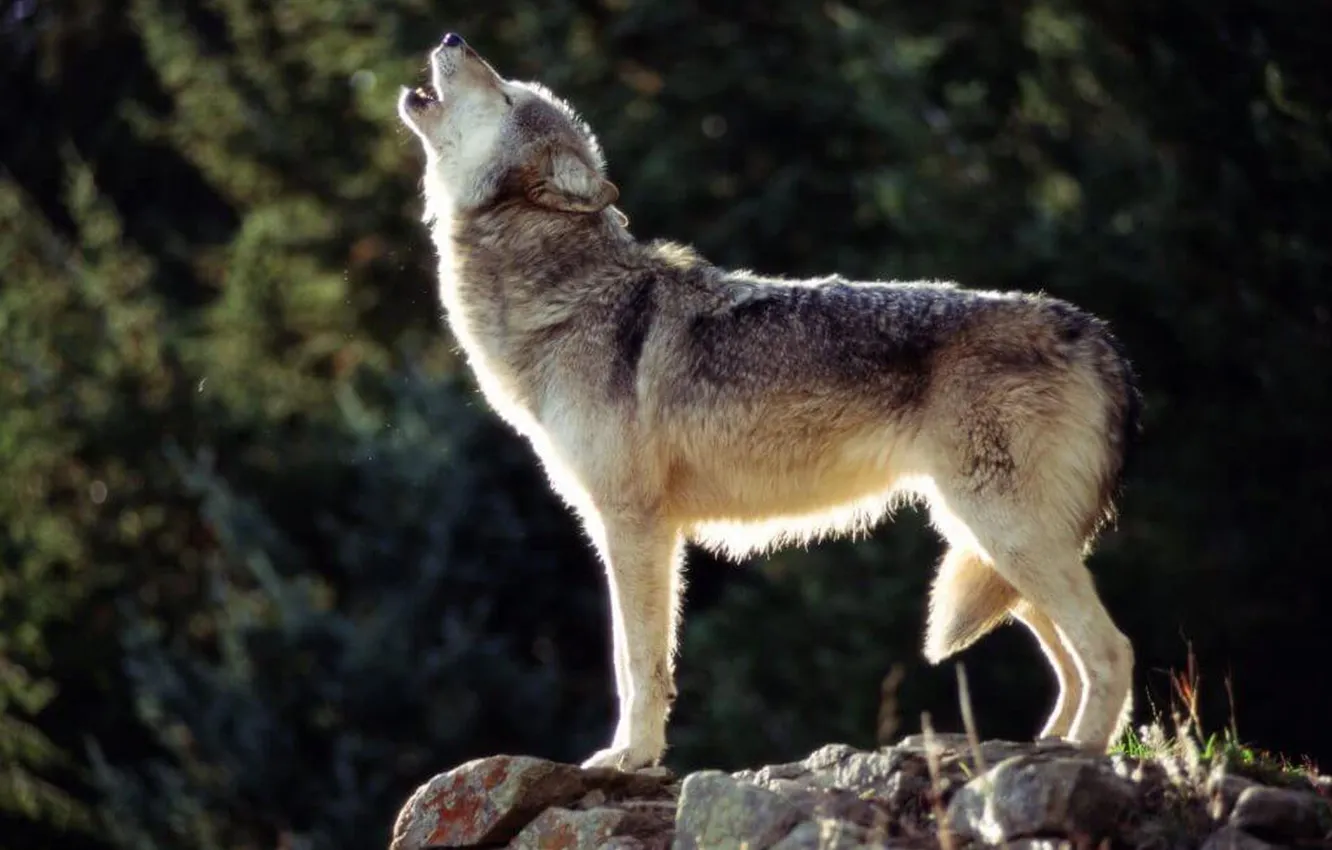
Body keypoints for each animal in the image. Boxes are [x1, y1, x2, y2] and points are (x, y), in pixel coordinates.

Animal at [397, 32, 1142, 771]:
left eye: (505, 94)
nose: (452, 36)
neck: (570, 296)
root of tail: (1098, 334)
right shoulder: (632, 526)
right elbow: (637, 660)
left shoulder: (634, 524)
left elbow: (637, 662)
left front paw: (631, 757)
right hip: (988, 545)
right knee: (1072, 662)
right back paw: (1046, 749)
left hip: (1005, 534)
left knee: (1113, 650)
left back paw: (1081, 755)